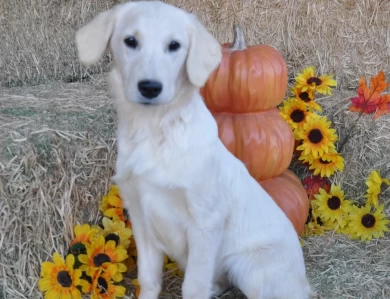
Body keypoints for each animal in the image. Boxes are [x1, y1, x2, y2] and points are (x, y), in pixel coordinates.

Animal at [76, 1, 312, 298]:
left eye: (174, 45)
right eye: (130, 41)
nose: (150, 87)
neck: (156, 129)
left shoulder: (205, 222)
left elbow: (193, 286)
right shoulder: (141, 216)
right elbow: (148, 279)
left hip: (251, 268)